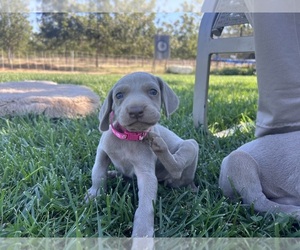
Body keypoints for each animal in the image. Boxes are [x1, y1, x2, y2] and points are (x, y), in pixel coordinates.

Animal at [85, 72, 199, 236]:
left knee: (177, 168)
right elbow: (97, 173)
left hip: (191, 145)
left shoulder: (146, 173)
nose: (136, 110)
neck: (128, 138)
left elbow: (145, 204)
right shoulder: (102, 153)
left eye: (153, 91)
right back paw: (113, 174)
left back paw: (159, 145)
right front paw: (94, 195)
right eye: (119, 95)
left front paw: (142, 233)